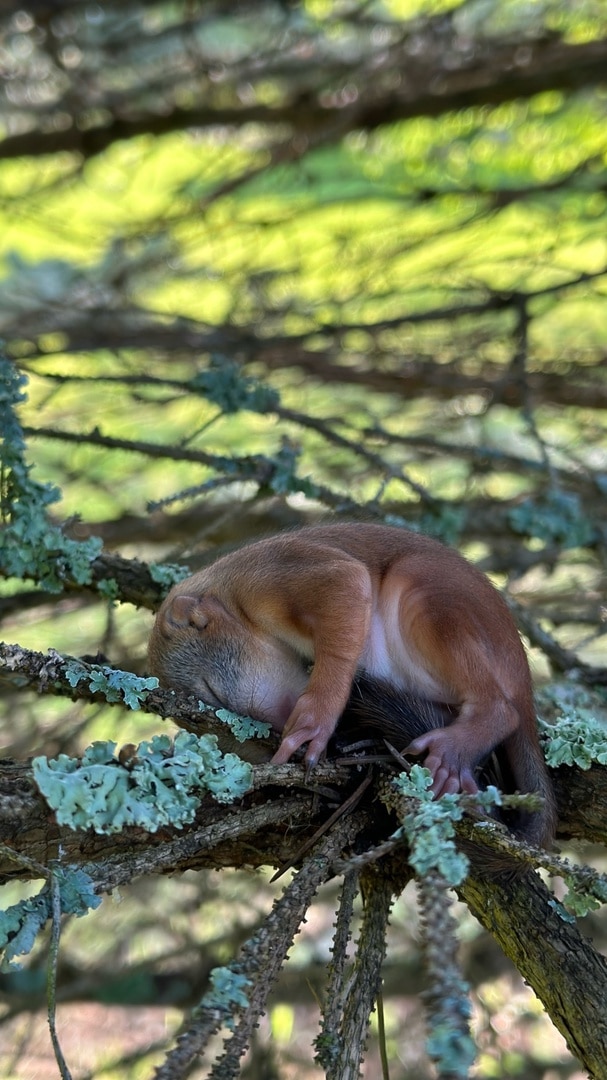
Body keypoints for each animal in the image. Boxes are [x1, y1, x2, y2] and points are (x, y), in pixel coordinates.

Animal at [147, 524, 552, 851]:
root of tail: (522, 679)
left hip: (428, 595)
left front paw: (315, 719)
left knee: (503, 710)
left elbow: (344, 583)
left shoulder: (267, 578)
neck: (227, 595)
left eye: (213, 693)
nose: (278, 731)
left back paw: (462, 742)